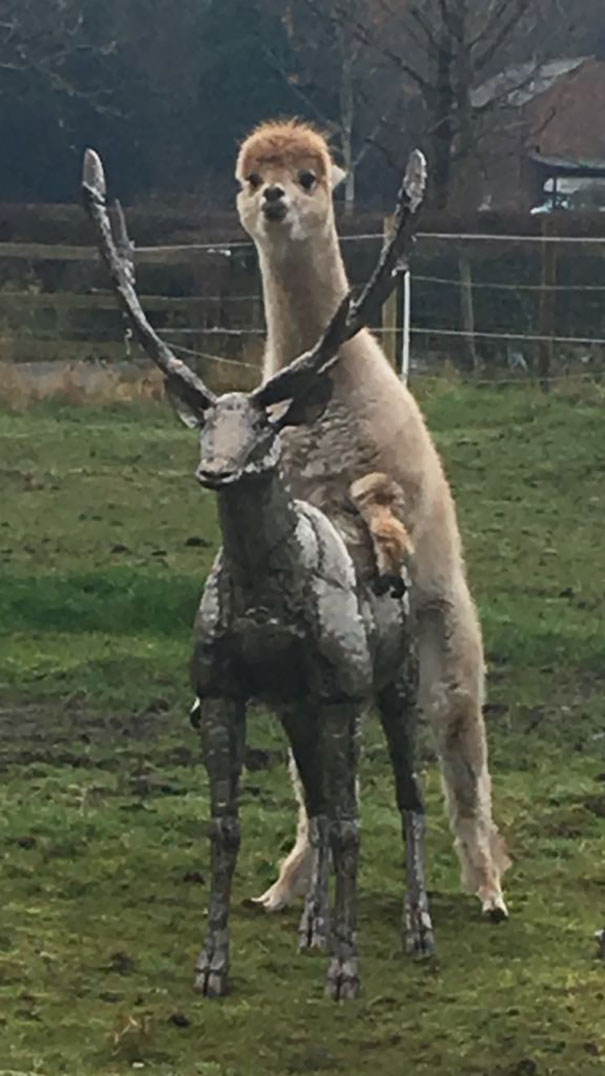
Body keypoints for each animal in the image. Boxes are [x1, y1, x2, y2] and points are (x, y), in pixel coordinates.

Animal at [82, 146, 432, 1001]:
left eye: (265, 429)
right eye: (208, 423)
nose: (214, 470)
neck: (267, 605)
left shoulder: (339, 688)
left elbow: (354, 822)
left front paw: (346, 971)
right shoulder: (223, 689)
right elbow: (226, 824)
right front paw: (211, 966)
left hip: (393, 679)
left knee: (402, 796)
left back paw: (414, 929)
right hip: (298, 708)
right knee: (328, 800)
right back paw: (313, 927)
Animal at [235, 119, 510, 922]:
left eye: (308, 177)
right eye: (251, 177)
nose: (273, 200)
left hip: (447, 630)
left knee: (459, 734)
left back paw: (488, 887)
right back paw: (285, 885)